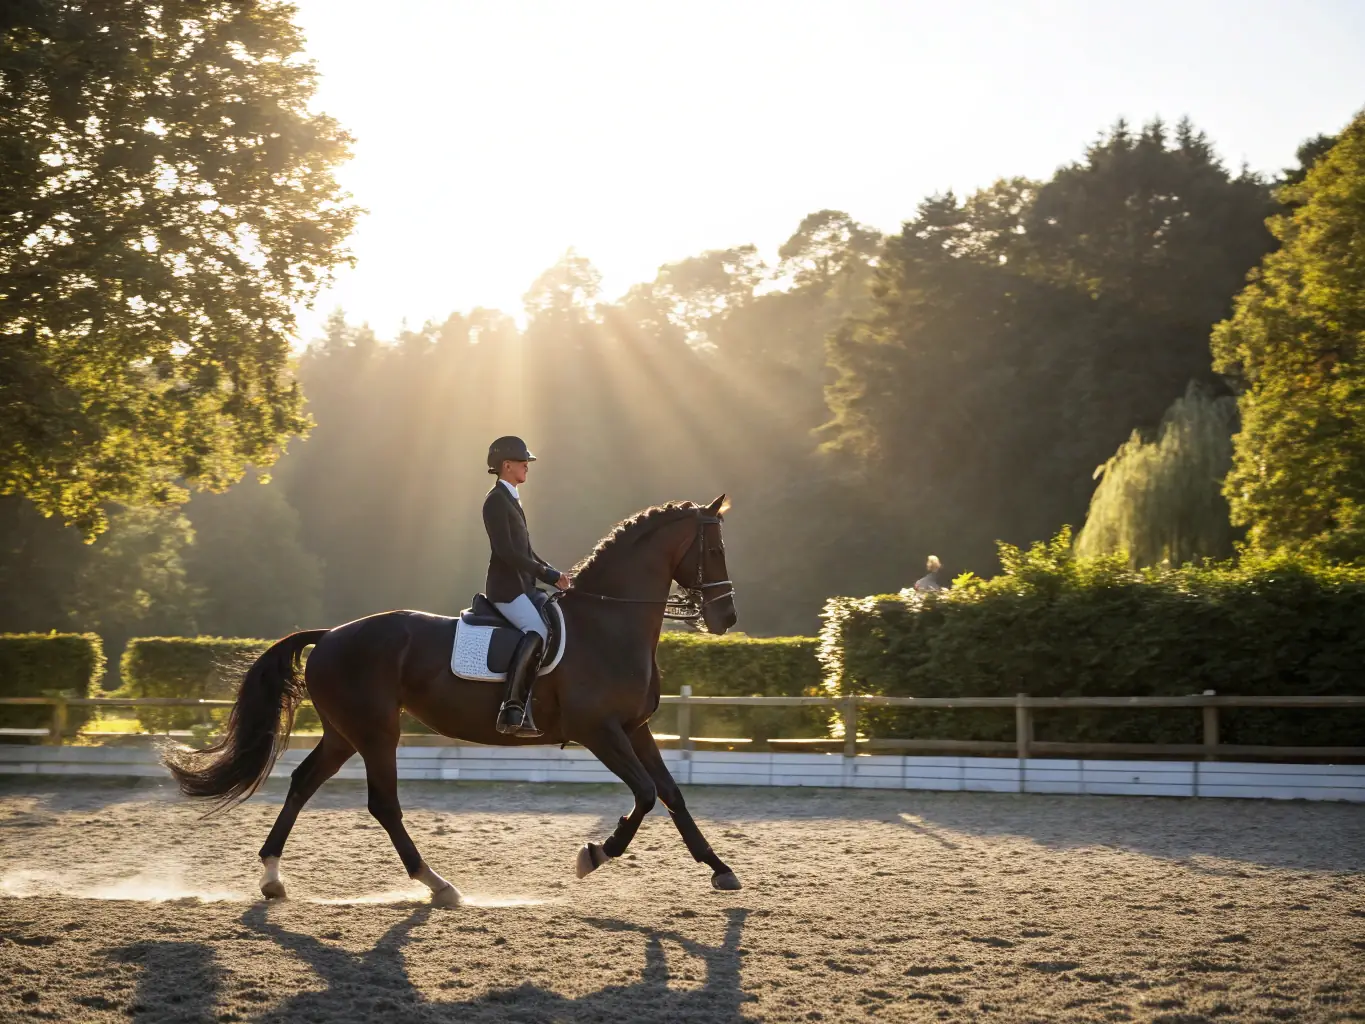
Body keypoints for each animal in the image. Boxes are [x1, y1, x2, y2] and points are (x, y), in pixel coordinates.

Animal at [164, 495, 741, 906]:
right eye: (713, 551)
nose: (726, 618)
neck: (608, 624)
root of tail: (330, 635)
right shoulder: (598, 730)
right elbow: (643, 794)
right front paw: (594, 855)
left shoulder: (636, 728)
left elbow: (671, 793)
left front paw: (721, 869)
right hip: (377, 731)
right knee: (383, 804)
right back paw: (438, 885)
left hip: (344, 732)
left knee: (304, 783)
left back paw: (272, 879)